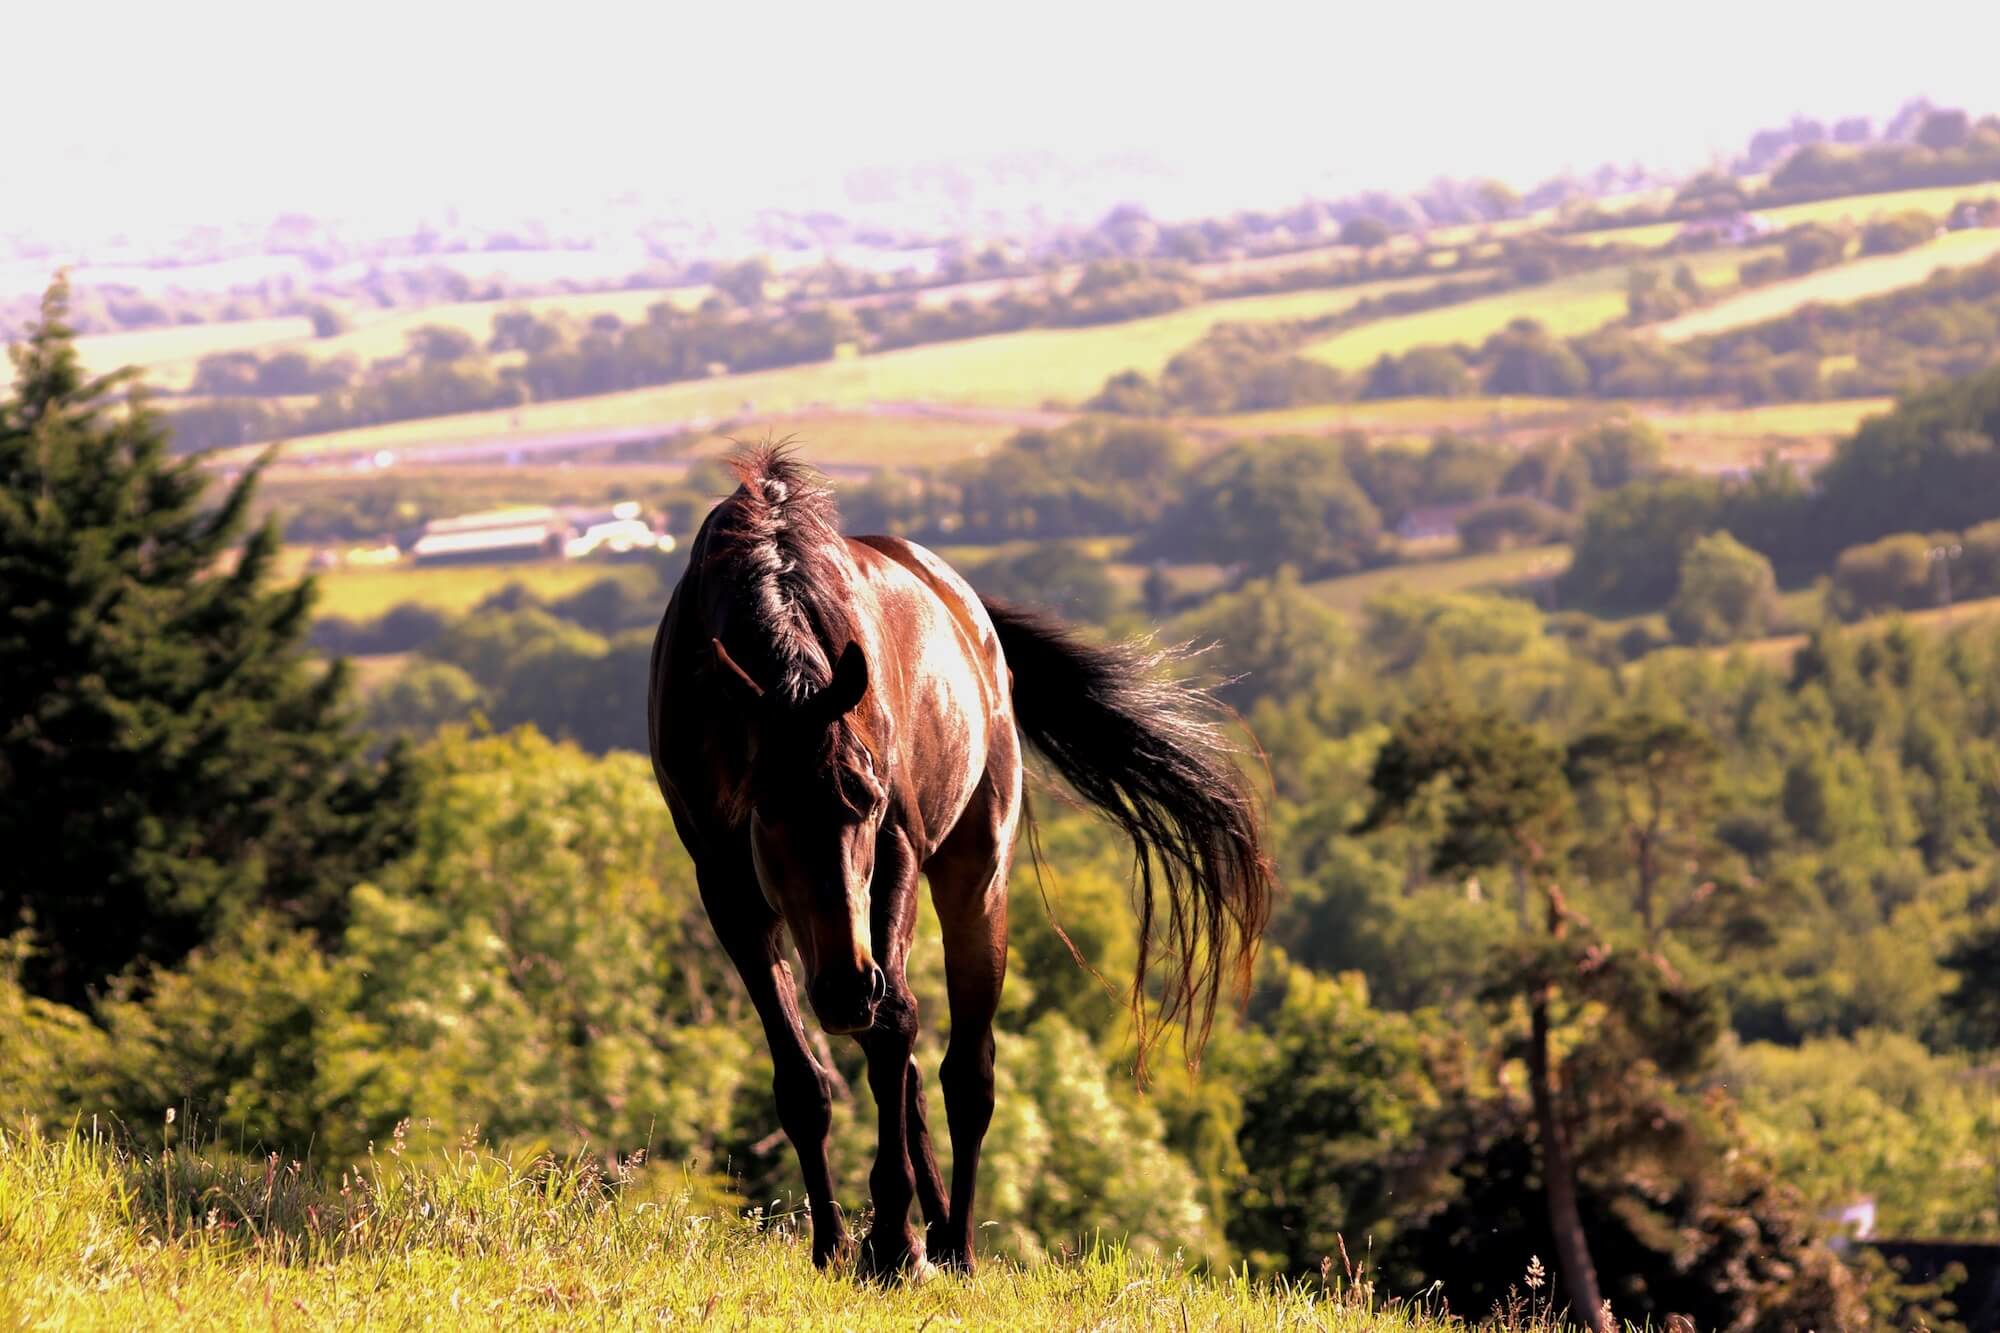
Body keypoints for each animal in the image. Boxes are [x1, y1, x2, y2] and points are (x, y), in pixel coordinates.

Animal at [647, 445, 1273, 1277]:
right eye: (766, 810)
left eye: (868, 798)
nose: (844, 986)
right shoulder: (729, 891)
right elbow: (804, 1080)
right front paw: (833, 1243)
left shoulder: (895, 854)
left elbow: (898, 1035)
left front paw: (887, 1239)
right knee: (903, 1048)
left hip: (974, 883)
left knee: (963, 1068)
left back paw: (951, 1242)